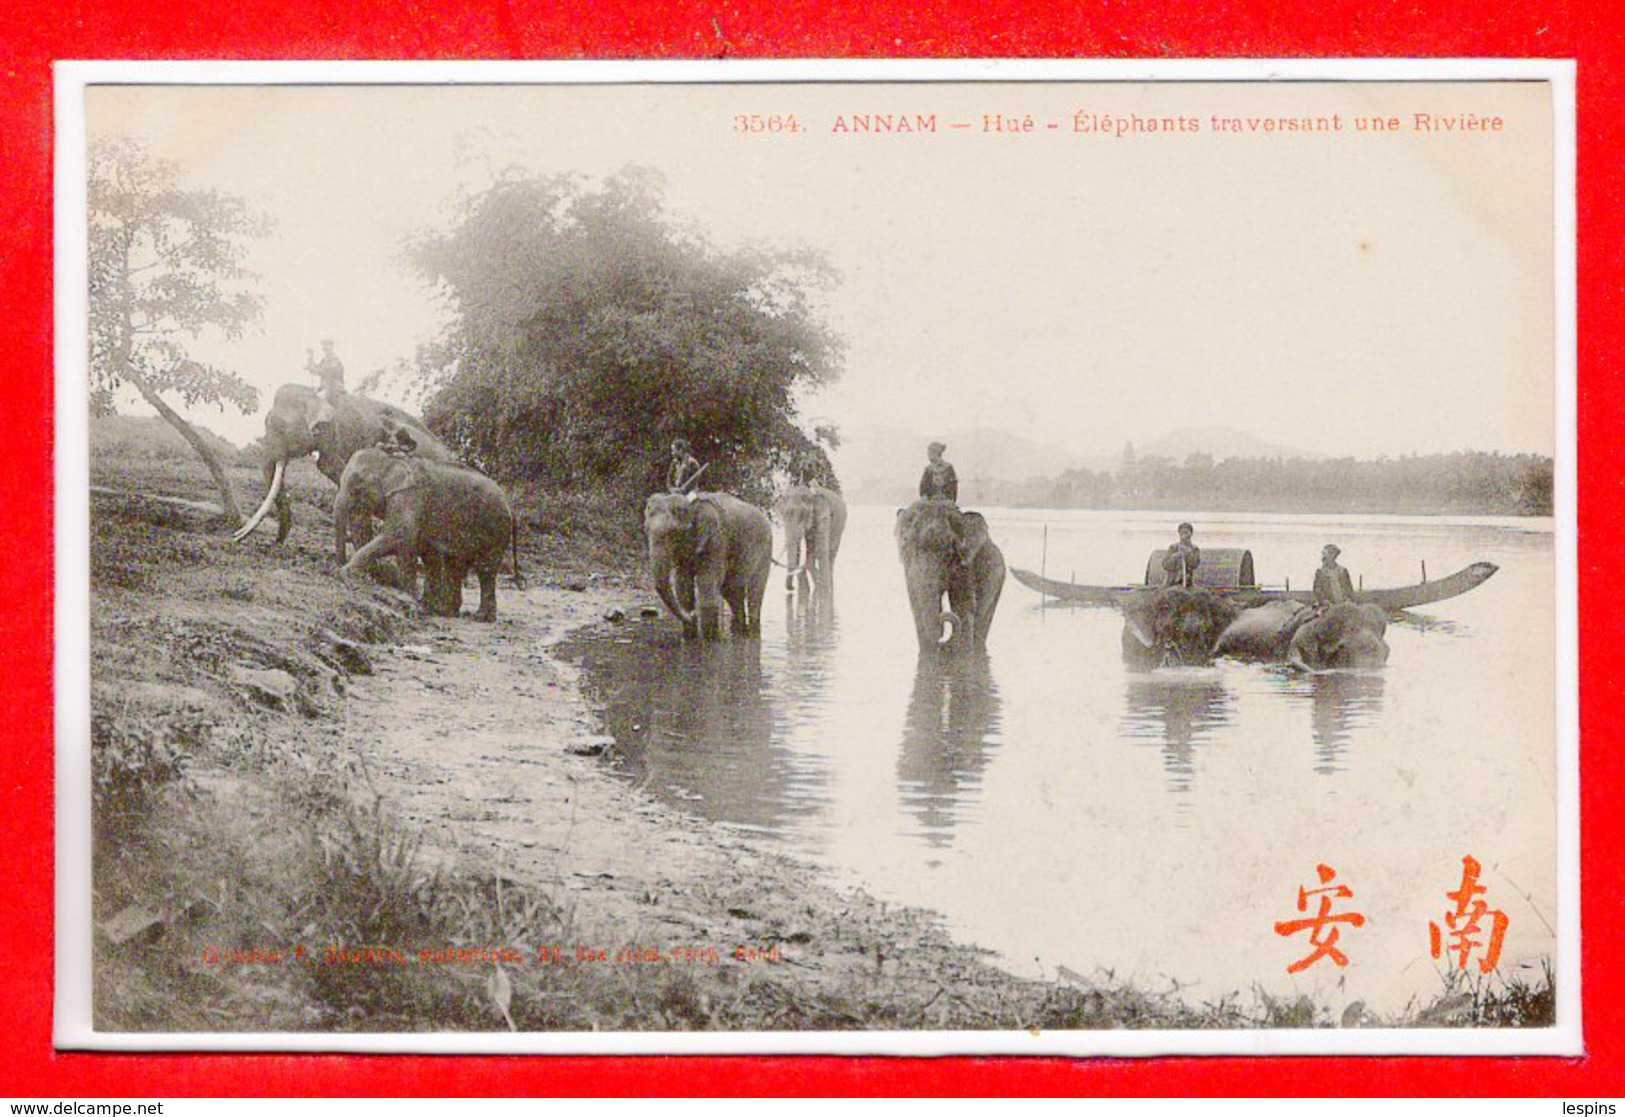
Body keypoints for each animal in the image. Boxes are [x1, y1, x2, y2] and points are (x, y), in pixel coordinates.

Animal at [334, 448, 523, 621]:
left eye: (356, 485)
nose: (337, 568)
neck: (392, 458)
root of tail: (510, 506)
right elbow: (424, 551)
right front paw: (424, 606)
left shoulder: (409, 496)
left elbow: (398, 536)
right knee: (455, 564)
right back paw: (447, 612)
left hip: (494, 527)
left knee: (485, 569)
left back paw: (481, 617)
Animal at [640, 494, 773, 643]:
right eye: (645, 530)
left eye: (674, 533)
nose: (692, 615)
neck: (691, 506)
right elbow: (683, 585)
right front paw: (689, 640)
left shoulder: (716, 541)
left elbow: (707, 583)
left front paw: (710, 642)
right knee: (731, 591)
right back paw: (738, 634)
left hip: (765, 550)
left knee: (754, 593)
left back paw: (752, 635)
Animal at [890, 500, 1001, 656]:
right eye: (906, 549)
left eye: (948, 553)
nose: (943, 641)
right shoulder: (909, 572)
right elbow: (916, 606)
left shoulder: (965, 565)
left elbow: (963, 605)